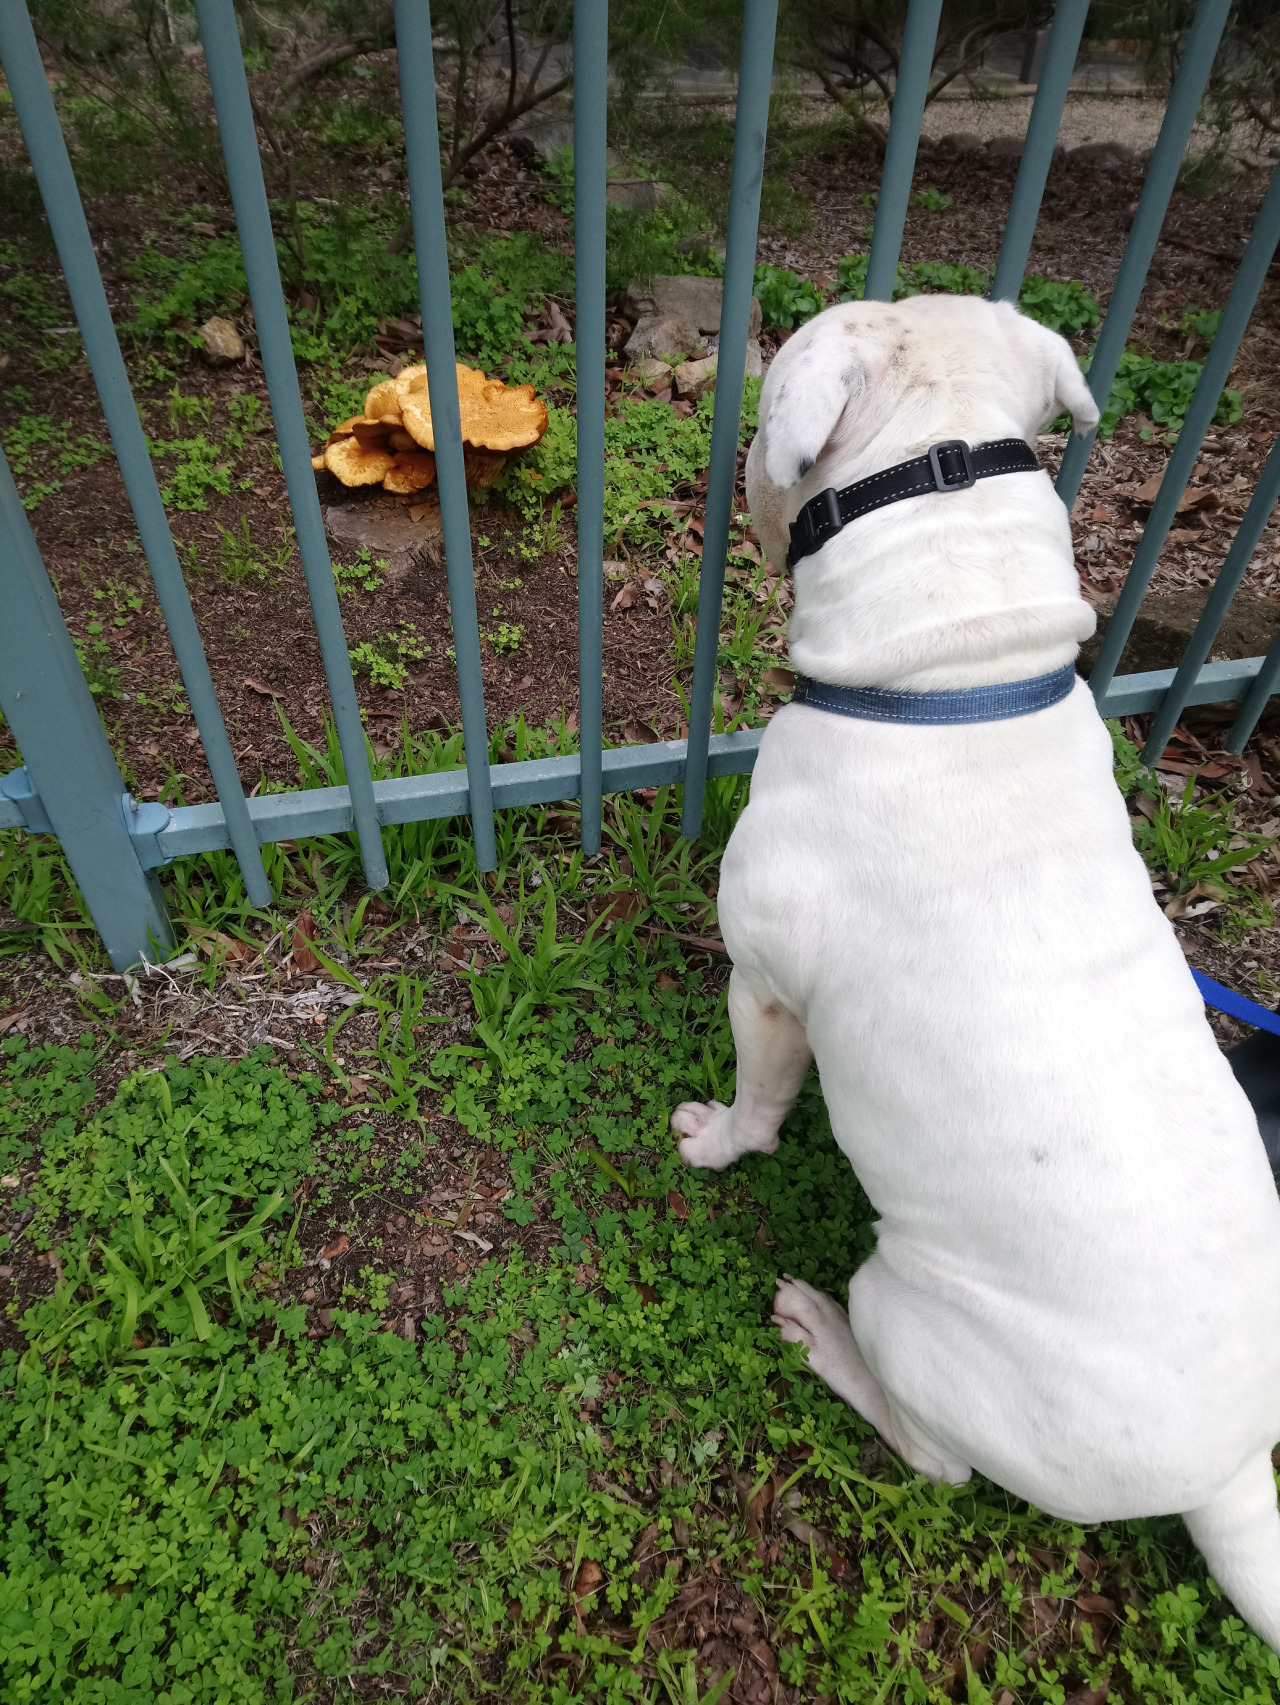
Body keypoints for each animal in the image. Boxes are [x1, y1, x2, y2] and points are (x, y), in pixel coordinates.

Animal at [671, 296, 1280, 1650]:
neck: (953, 683)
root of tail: (1222, 1474)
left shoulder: (764, 988)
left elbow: (755, 1104)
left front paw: (714, 1140)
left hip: (907, 1305)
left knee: (933, 1461)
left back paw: (820, 1335)